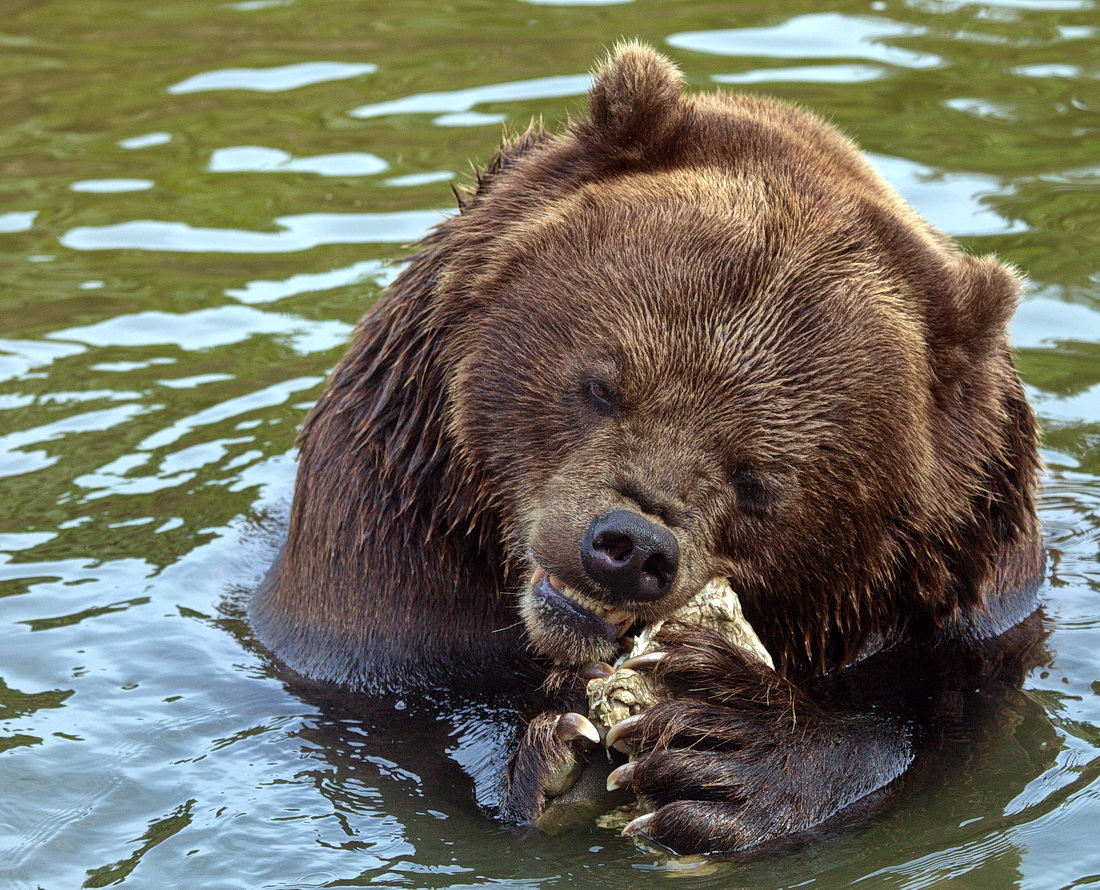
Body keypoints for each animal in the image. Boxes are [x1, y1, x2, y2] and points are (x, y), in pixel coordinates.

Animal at [251, 43, 1047, 853]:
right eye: (604, 385)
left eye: (760, 479)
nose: (630, 547)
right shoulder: (393, 529)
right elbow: (397, 716)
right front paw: (550, 754)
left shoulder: (966, 578)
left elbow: (947, 736)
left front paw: (726, 753)